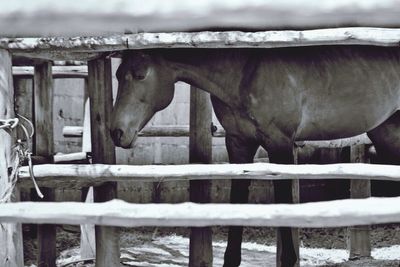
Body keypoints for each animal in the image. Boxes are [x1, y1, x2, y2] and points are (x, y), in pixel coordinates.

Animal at [109, 46, 400, 267]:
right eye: (118, 75)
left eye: (140, 75)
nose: (117, 132)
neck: (245, 73)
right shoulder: (239, 145)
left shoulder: (280, 145)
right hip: (387, 134)